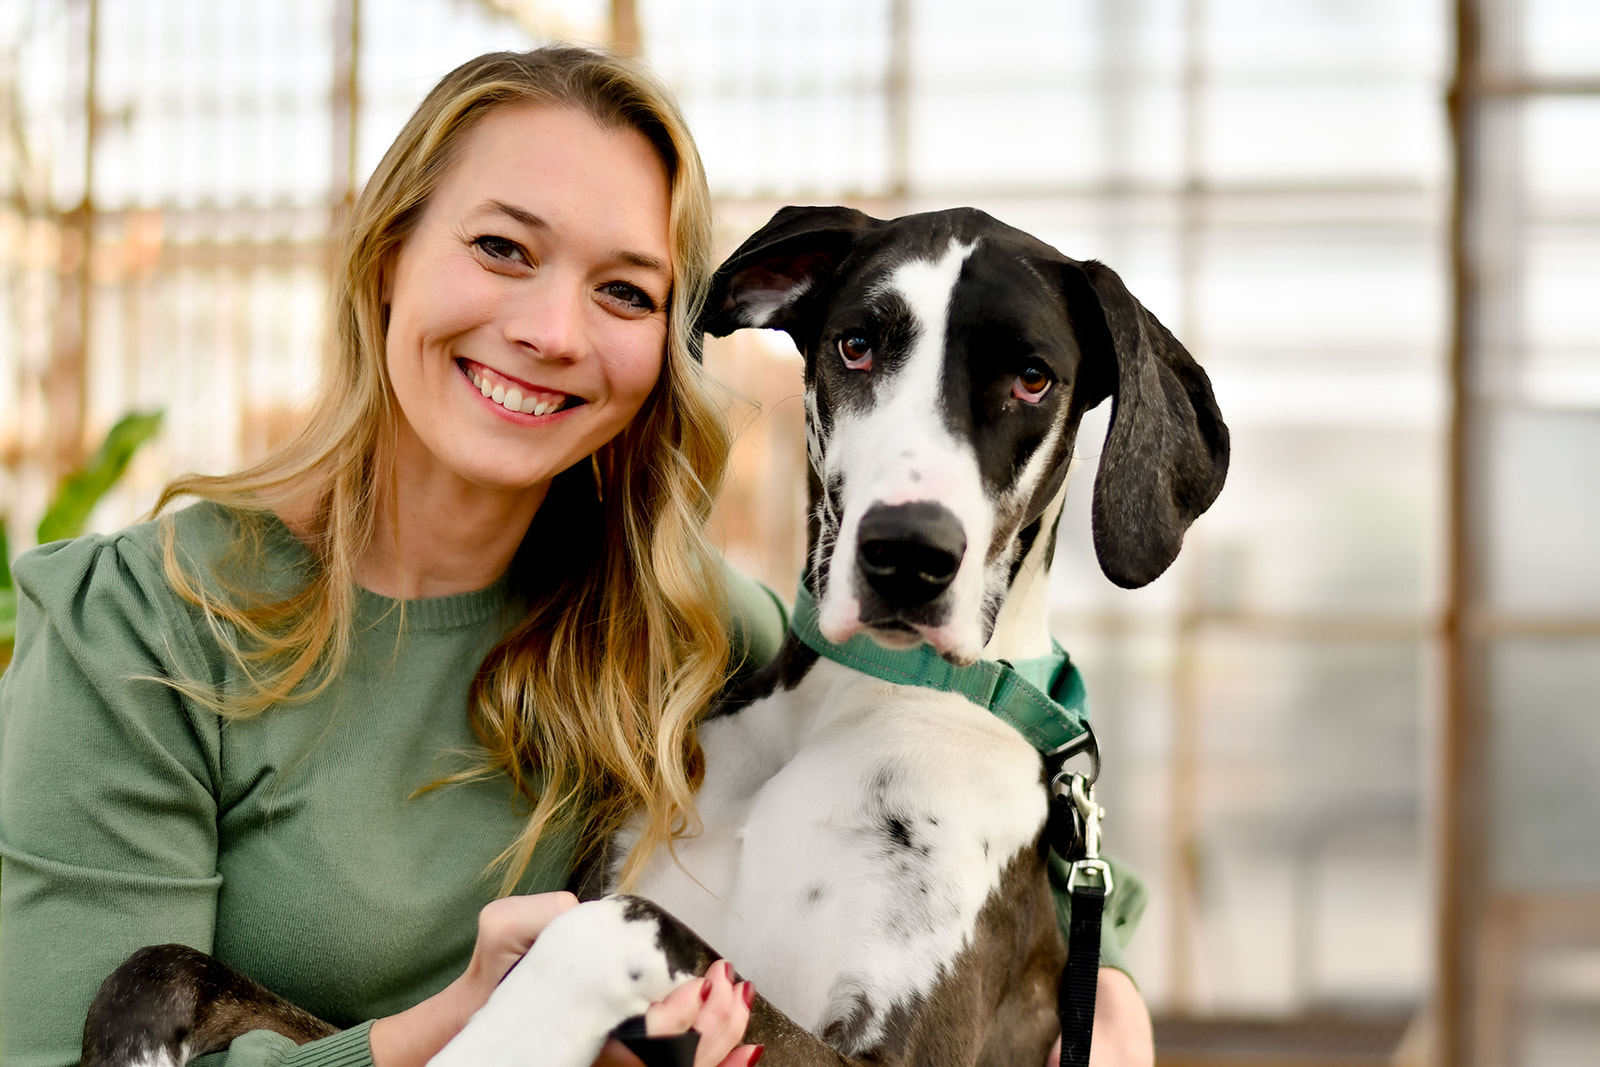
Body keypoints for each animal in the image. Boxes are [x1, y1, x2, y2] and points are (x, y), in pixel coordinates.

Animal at [84, 207, 1222, 1067]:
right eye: (856, 343)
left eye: (1033, 377)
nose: (908, 552)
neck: (850, 703)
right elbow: (161, 961)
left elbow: (614, 922)